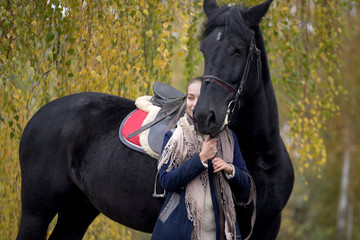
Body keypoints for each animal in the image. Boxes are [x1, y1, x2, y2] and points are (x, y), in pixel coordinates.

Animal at [15, 0, 294, 240]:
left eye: (237, 50)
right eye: (204, 50)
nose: (205, 115)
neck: (261, 157)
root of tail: (39, 115)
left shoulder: (268, 226)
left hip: (78, 210)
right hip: (37, 211)